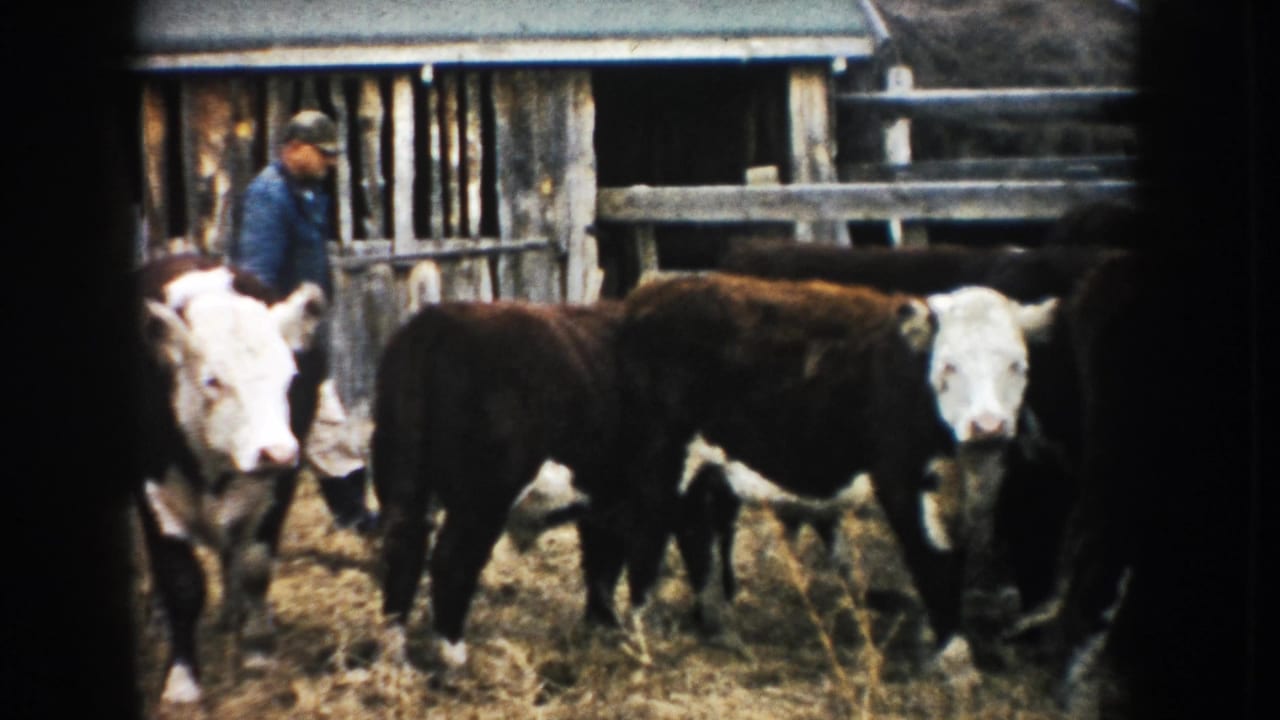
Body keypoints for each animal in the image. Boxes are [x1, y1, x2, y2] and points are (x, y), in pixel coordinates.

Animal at [135, 254, 326, 704]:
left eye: (290, 378)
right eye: (213, 380)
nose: (277, 452)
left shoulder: (277, 489)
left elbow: (256, 566)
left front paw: (257, 649)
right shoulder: (154, 495)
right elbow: (182, 584)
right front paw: (182, 679)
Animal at [372, 301, 620, 674]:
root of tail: (436, 321)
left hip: (403, 480)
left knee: (404, 549)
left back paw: (396, 656)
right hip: (482, 498)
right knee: (451, 559)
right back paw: (454, 653)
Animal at [587, 273, 1056, 676]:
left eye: (1017, 366)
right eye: (949, 366)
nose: (988, 426)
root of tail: (650, 294)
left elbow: (954, 558)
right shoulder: (902, 478)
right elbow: (932, 560)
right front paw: (953, 658)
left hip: (702, 464)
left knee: (693, 530)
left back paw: (715, 626)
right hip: (660, 452)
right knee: (648, 527)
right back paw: (640, 630)